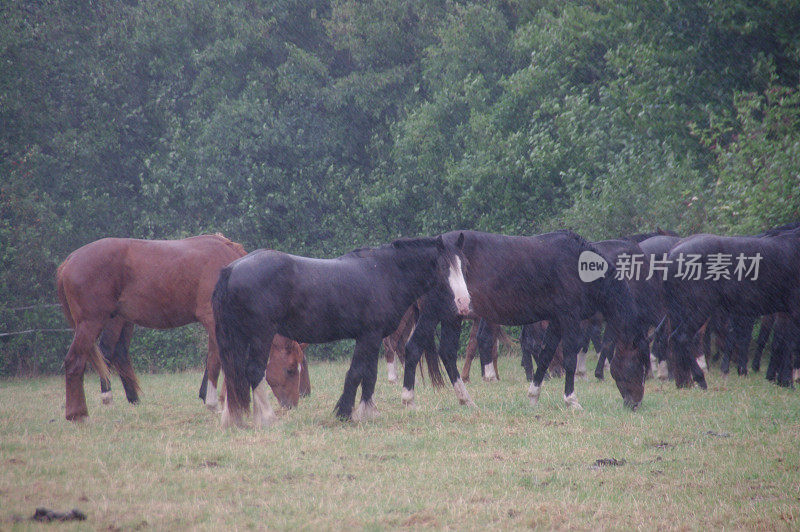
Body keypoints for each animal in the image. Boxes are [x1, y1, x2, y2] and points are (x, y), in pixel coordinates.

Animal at [56, 235, 306, 422]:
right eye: (290, 369)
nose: (292, 405)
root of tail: (68, 261)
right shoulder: (213, 322)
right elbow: (216, 361)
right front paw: (215, 402)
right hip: (91, 324)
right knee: (76, 362)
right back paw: (79, 414)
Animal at [212, 237, 468, 428]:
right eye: (443, 266)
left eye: (463, 265)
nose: (464, 303)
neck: (384, 273)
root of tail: (232, 269)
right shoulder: (369, 336)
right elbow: (358, 373)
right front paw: (348, 412)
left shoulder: (371, 337)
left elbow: (368, 374)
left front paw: (365, 411)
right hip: (261, 335)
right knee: (254, 371)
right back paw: (266, 418)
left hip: (237, 337)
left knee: (233, 374)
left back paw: (233, 418)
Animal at [404, 231, 648, 410]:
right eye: (639, 364)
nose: (635, 403)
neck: (578, 264)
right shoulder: (569, 318)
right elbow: (569, 358)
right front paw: (571, 400)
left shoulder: (556, 321)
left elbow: (546, 355)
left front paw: (533, 396)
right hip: (433, 313)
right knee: (414, 347)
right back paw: (409, 400)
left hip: (453, 316)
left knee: (447, 353)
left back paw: (466, 400)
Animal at [664, 229, 800, 386]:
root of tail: (674, 250)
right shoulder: (794, 310)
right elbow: (791, 345)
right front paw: (787, 381)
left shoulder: (785, 313)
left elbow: (782, 343)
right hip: (700, 309)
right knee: (682, 338)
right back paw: (700, 379)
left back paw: (684, 383)